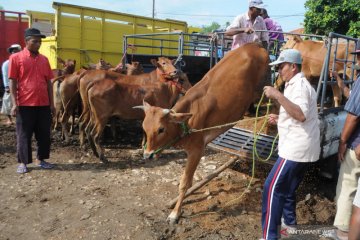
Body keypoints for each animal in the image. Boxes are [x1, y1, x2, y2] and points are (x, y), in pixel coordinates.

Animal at [138, 42, 270, 223]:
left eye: (161, 129)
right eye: (144, 128)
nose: (147, 155)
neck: (186, 123)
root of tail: (255, 44)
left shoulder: (197, 150)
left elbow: (184, 183)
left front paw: (175, 213)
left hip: (265, 85)